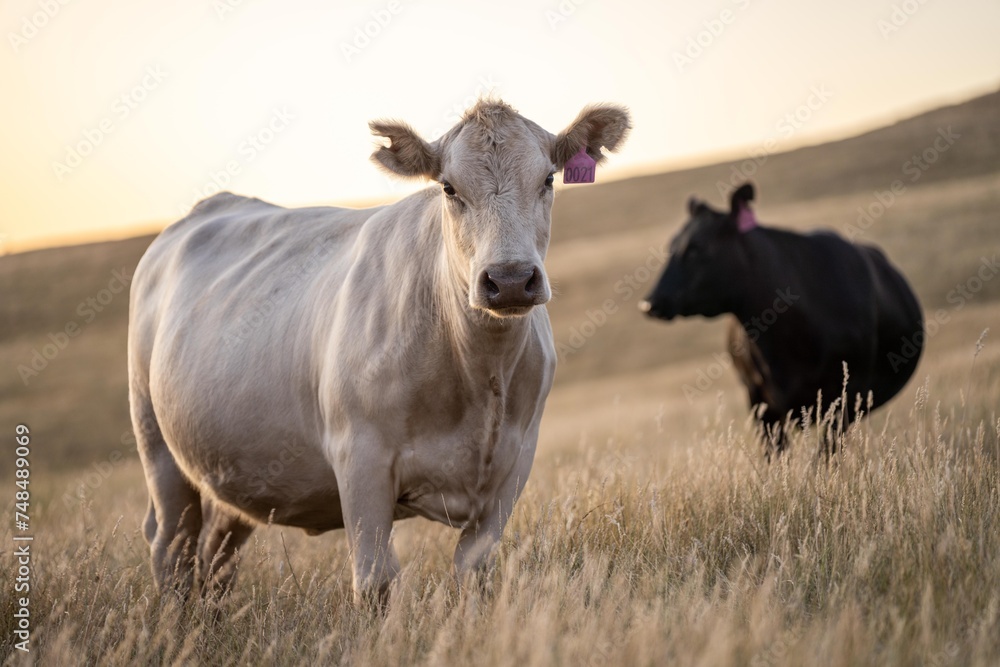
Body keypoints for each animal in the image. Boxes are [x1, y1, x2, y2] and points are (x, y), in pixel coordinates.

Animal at [127, 100, 624, 604]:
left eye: (548, 179)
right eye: (448, 187)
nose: (509, 280)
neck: (479, 373)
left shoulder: (514, 462)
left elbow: (473, 569)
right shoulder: (360, 457)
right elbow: (376, 580)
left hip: (235, 470)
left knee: (216, 554)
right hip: (157, 446)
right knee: (171, 545)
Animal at [644, 180, 924, 456]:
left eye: (696, 248)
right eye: (671, 247)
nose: (649, 303)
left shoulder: (846, 393)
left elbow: (826, 454)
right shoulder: (758, 399)